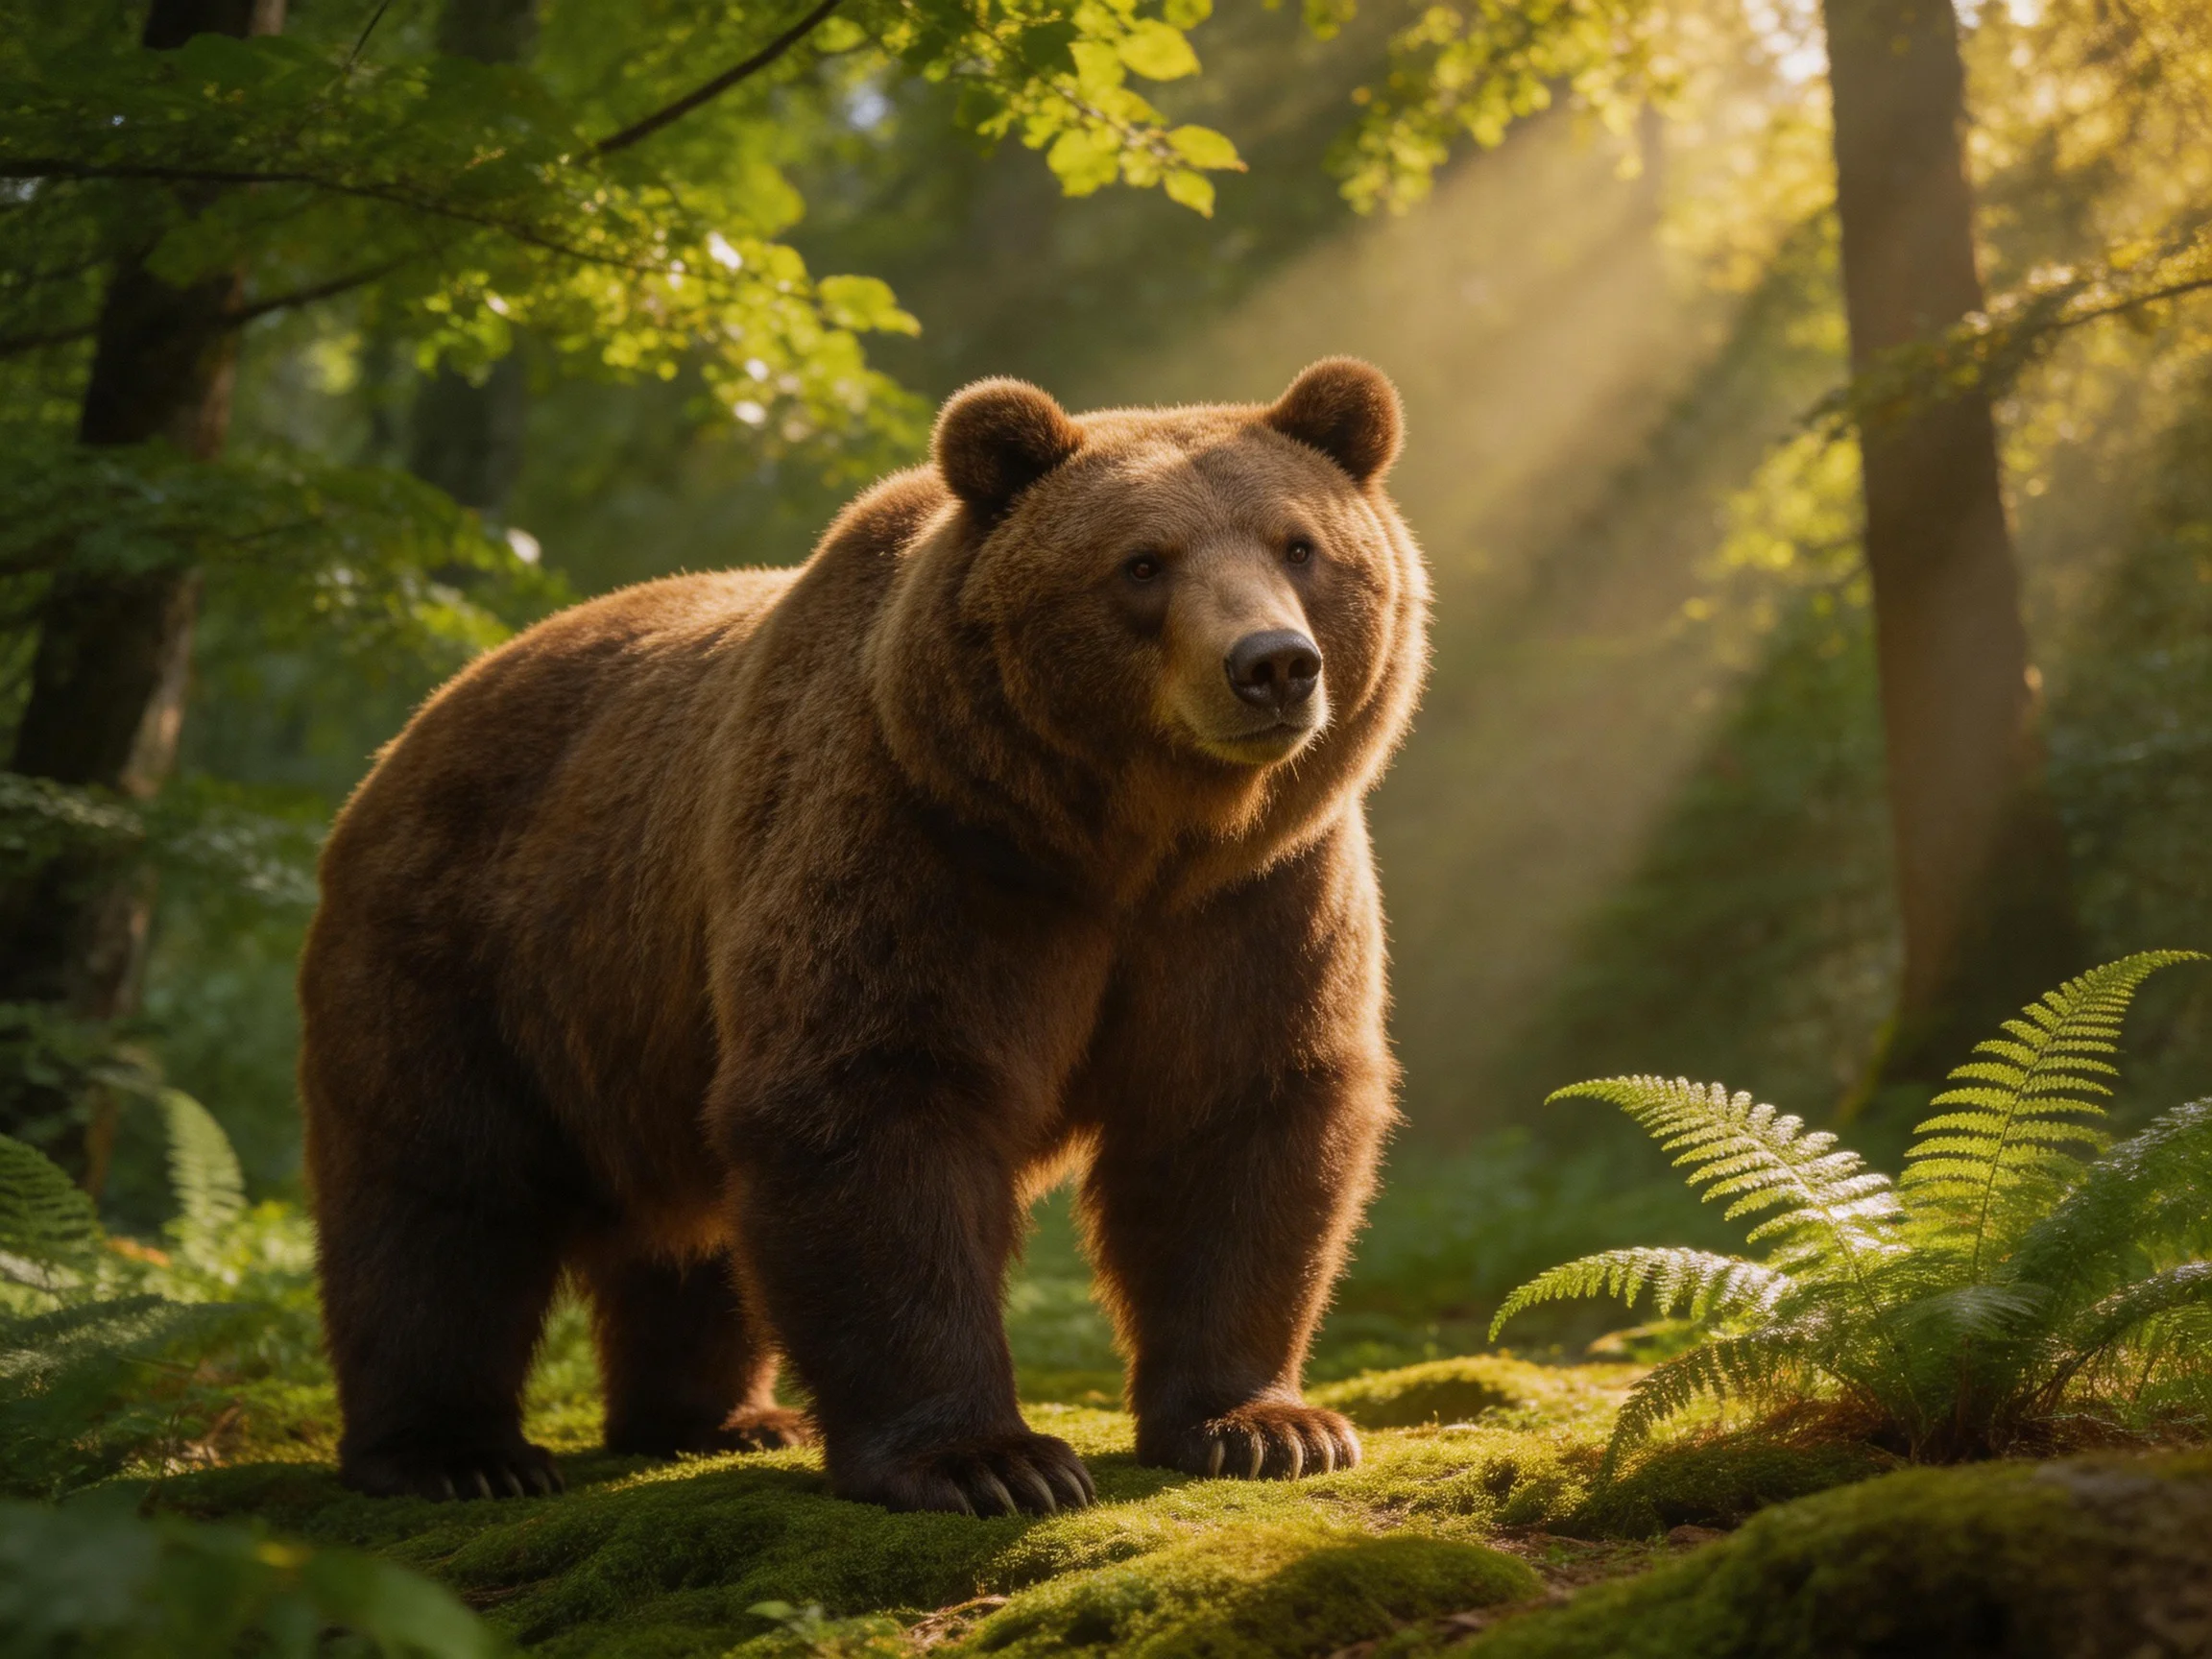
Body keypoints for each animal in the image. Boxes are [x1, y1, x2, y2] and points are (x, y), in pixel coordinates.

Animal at [297, 357, 1430, 1513]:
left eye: (1299, 545)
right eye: (1142, 563)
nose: (1273, 664)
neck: (1127, 843)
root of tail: (405, 737)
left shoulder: (1252, 898)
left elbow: (1237, 1111)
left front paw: (1266, 1426)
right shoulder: (918, 844)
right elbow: (876, 1101)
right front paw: (990, 1461)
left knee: (688, 1232)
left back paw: (719, 1419)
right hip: (464, 955)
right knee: (442, 1197)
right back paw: (456, 1453)